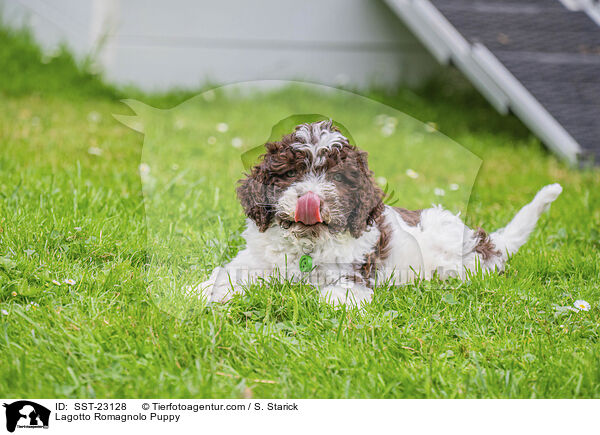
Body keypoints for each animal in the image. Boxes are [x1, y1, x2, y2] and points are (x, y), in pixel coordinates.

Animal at [198, 119, 564, 306]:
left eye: (336, 178)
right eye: (291, 173)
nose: (312, 199)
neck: (307, 243)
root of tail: (486, 243)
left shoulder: (350, 276)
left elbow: (330, 296)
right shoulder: (256, 258)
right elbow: (229, 274)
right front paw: (206, 293)